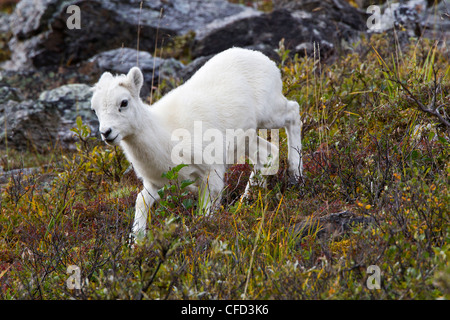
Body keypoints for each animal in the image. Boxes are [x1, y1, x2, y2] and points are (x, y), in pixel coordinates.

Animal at [90, 47, 302, 241]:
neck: (163, 133)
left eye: (124, 103)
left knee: (293, 112)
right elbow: (141, 202)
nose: (106, 133)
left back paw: (296, 174)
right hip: (244, 139)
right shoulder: (155, 183)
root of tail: (263, 59)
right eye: (94, 109)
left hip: (270, 114)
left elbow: (206, 213)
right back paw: (246, 200)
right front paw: (136, 243)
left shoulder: (211, 174)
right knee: (267, 153)